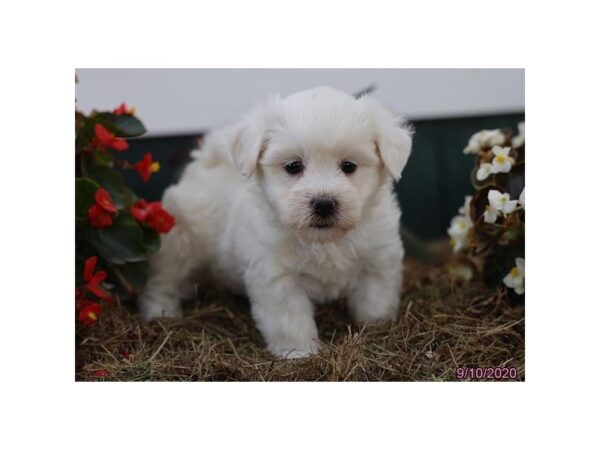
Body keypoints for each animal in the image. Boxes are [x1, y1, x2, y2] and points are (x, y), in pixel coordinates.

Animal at [141, 87, 412, 358]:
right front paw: (300, 354)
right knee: (164, 279)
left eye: (349, 166)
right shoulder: (277, 277)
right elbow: (290, 320)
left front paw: (376, 329)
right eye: (293, 166)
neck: (323, 241)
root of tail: (207, 162)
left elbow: (375, 300)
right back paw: (161, 313)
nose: (324, 203)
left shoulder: (378, 262)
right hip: (180, 242)